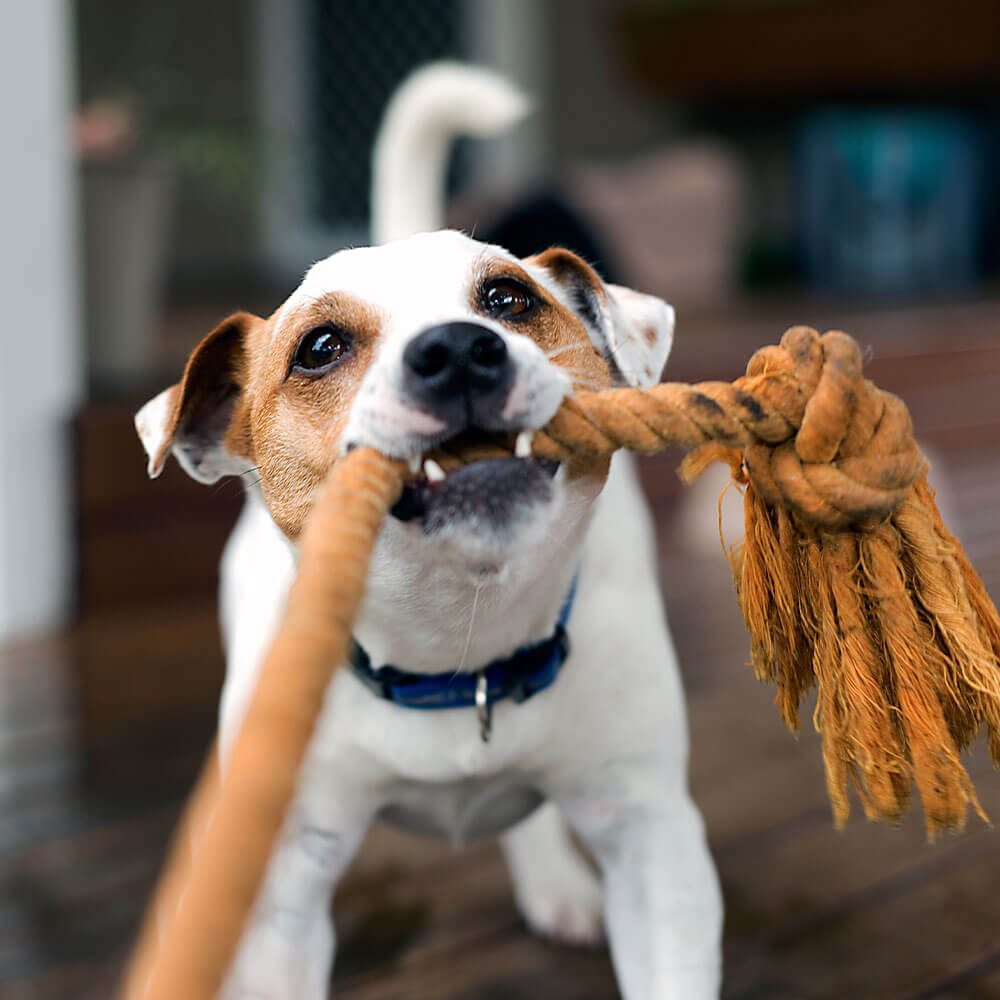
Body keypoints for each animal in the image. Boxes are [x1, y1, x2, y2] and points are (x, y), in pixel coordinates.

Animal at [137, 64, 724, 1000]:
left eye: (509, 297)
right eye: (321, 347)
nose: (456, 350)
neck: (458, 648)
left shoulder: (654, 842)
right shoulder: (286, 894)